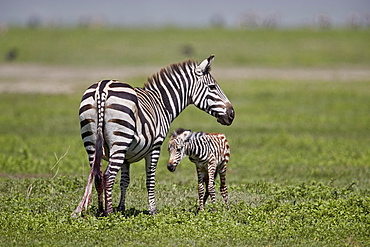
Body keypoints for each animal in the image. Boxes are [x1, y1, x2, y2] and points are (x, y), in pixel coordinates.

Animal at [72, 54, 234, 216]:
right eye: (212, 87)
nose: (232, 114)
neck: (162, 104)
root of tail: (102, 88)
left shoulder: (126, 156)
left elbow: (125, 181)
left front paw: (121, 208)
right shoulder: (155, 147)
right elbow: (150, 179)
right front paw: (152, 210)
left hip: (92, 142)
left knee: (97, 175)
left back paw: (100, 211)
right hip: (119, 141)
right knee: (108, 176)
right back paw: (109, 213)